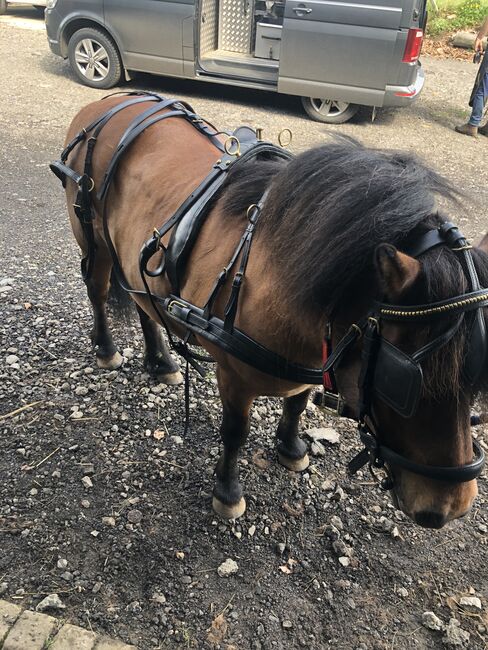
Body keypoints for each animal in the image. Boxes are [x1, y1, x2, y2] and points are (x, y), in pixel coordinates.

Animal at [58, 95, 488, 528]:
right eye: (401, 382)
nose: (451, 507)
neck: (273, 273)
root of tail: (110, 103)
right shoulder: (232, 374)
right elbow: (235, 431)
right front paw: (227, 491)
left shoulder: (316, 354)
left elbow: (296, 402)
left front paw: (291, 447)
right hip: (93, 236)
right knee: (97, 291)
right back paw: (107, 348)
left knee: (145, 306)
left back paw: (161, 361)